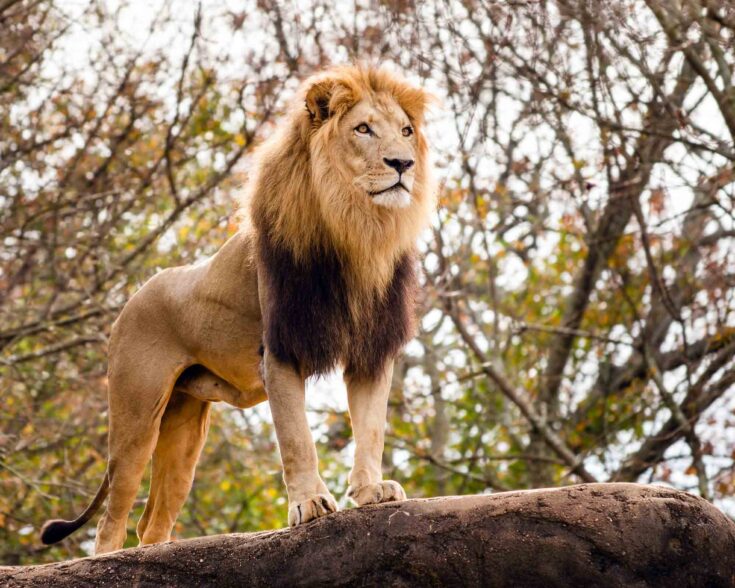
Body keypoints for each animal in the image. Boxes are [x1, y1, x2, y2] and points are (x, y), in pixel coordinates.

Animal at [40, 65, 435, 555]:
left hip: (185, 427)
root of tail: (133, 296)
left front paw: (370, 491)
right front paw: (309, 504)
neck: (358, 230)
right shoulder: (280, 350)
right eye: (363, 129)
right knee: (111, 519)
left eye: (406, 131)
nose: (403, 164)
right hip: (136, 418)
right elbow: (297, 438)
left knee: (151, 521)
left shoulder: (370, 352)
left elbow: (371, 429)